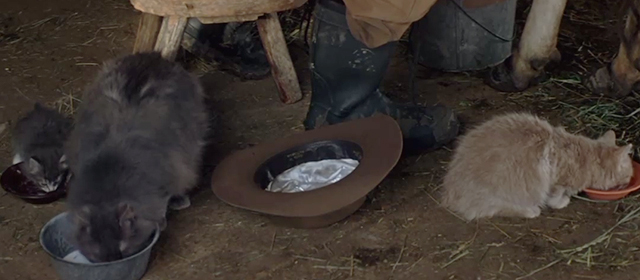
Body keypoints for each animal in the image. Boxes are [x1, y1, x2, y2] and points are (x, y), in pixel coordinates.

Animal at [442, 112, 632, 221]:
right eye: (629, 176)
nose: (629, 181)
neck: (585, 157)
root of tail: (450, 193)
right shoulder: (557, 181)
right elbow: (555, 197)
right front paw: (562, 202)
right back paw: (531, 210)